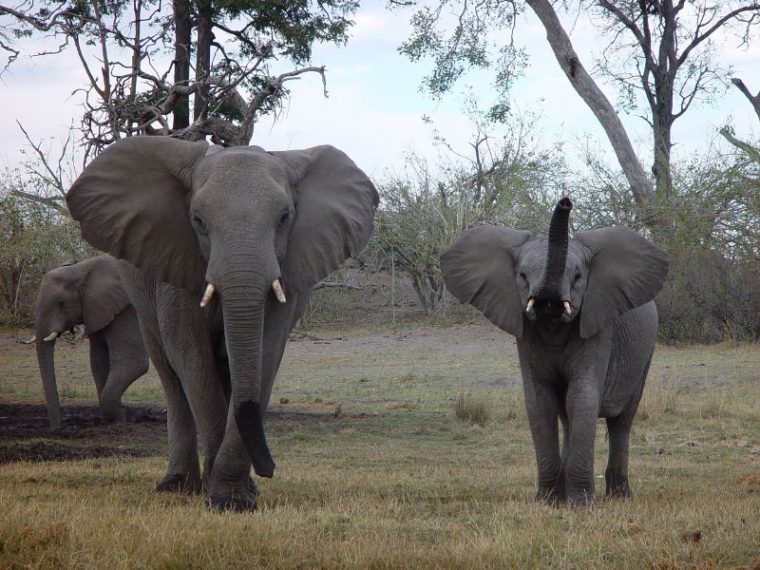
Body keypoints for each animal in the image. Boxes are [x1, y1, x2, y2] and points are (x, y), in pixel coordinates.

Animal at [34, 255, 150, 428]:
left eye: (62, 302)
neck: (80, 270)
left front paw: (123, 418)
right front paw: (116, 418)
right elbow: (98, 361)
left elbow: (133, 363)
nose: (58, 428)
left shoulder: (126, 309)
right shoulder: (95, 310)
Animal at [65, 136, 378, 510]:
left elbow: (265, 352)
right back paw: (177, 486)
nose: (270, 470)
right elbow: (191, 357)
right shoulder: (176, 259)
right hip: (139, 293)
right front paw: (223, 499)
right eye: (198, 221)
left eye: (284, 218)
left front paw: (236, 498)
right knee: (171, 374)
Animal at [442, 197, 668, 504]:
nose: (565, 202)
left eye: (578, 276)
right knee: (567, 416)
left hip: (646, 351)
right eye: (522, 276)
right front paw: (547, 502)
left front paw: (582, 505)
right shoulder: (526, 332)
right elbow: (540, 402)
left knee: (621, 421)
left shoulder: (598, 325)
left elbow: (582, 398)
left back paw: (619, 497)